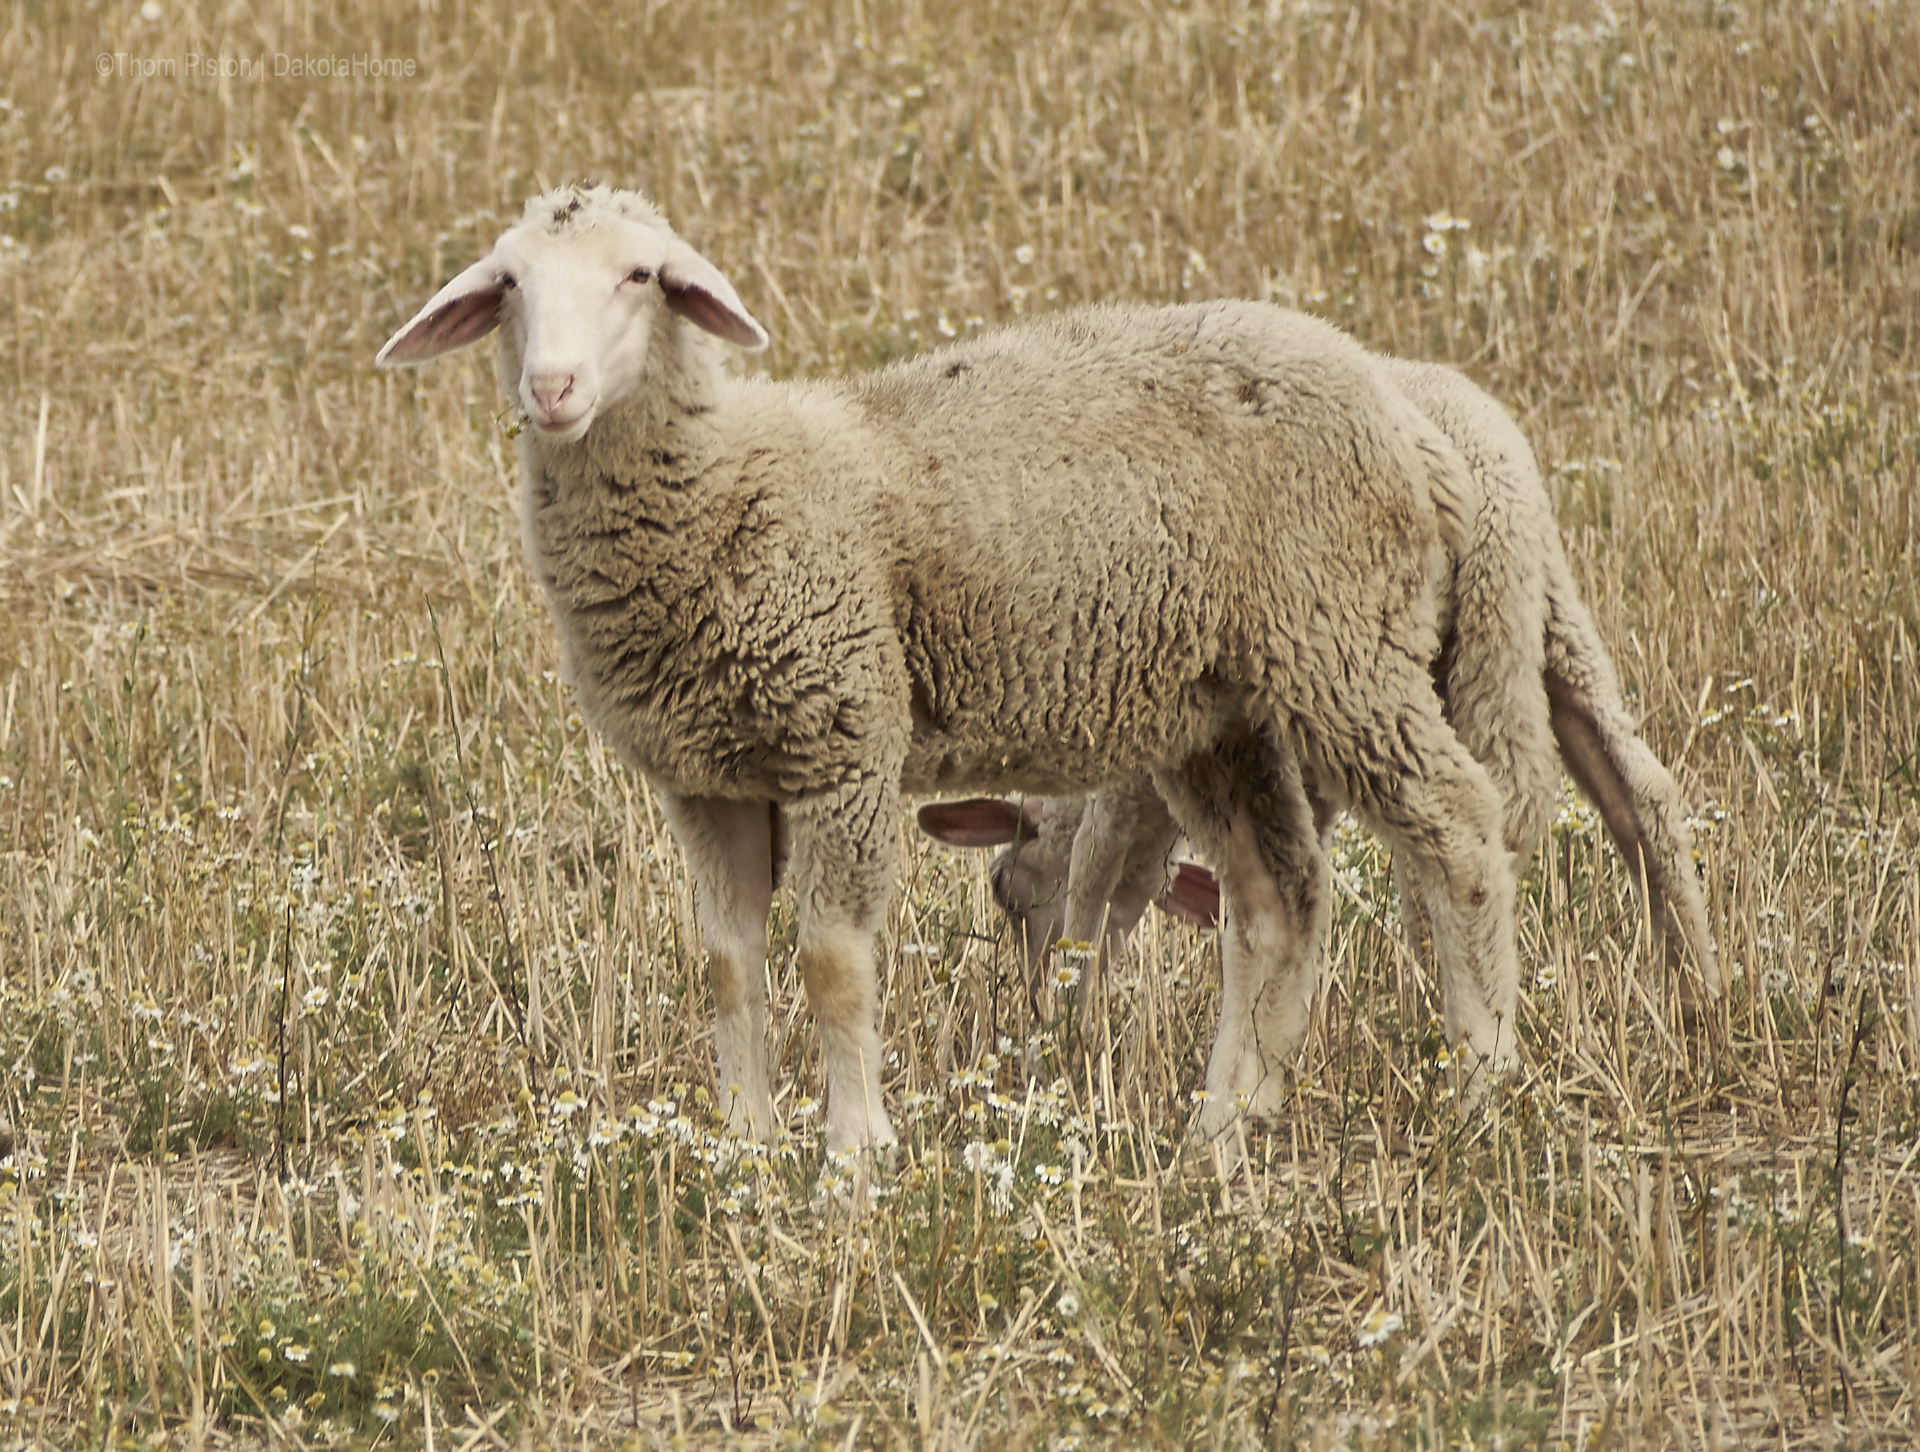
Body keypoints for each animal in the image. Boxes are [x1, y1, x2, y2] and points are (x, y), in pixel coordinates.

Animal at [378, 184, 1528, 1160]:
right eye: (509, 284)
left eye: (640, 277)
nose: (553, 388)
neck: (726, 489)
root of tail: (1407, 416)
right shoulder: (708, 779)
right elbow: (727, 967)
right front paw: (745, 1149)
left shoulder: (842, 736)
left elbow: (832, 961)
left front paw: (855, 1156)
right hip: (1221, 710)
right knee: (1276, 899)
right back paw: (1222, 1133)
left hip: (1341, 646)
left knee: (1460, 827)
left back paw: (1481, 1090)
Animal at [921, 357, 1720, 1014]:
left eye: (1003, 891)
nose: (1028, 998)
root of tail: (1488, 457)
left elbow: (1097, 875)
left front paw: (1067, 1029)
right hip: (1542, 611)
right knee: (1637, 792)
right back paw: (1697, 994)